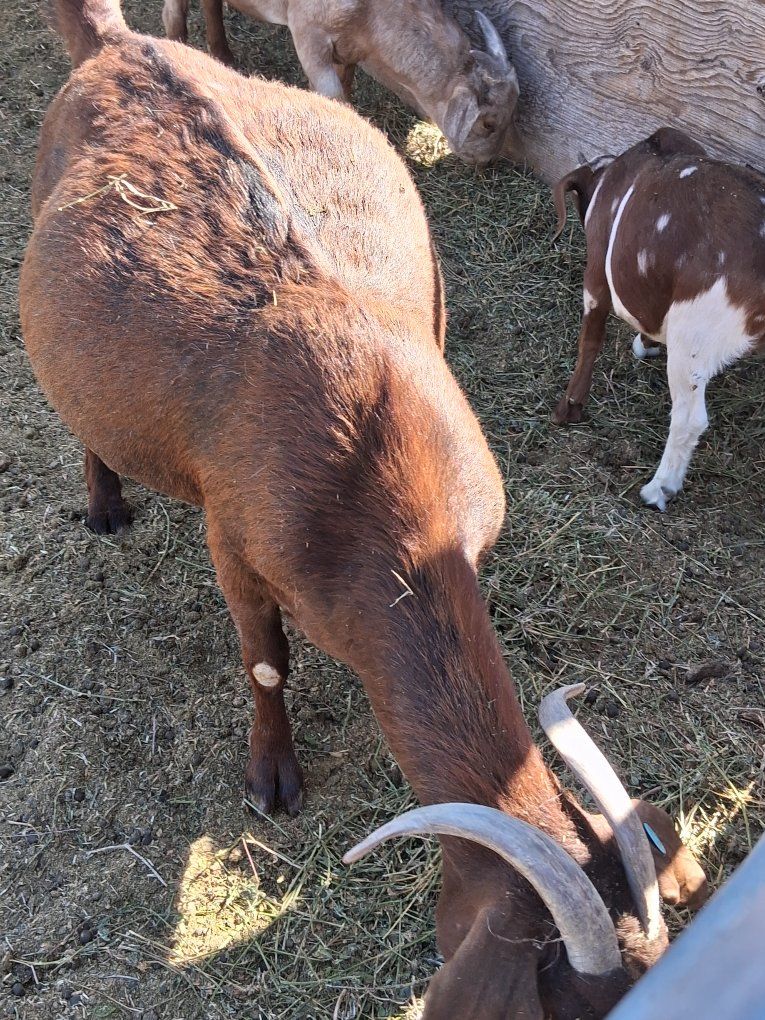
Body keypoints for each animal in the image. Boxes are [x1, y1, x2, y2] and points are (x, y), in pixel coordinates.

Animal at [161, 0, 519, 166]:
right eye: (488, 123)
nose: (487, 162)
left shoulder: (349, 49)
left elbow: (346, 87)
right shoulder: (308, 35)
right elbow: (334, 95)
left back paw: (223, 57)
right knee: (173, 15)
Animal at [552, 128, 765, 510]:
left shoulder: (596, 277)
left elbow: (590, 341)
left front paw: (568, 409)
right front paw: (646, 343)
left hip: (692, 334)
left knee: (690, 419)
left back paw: (659, 489)